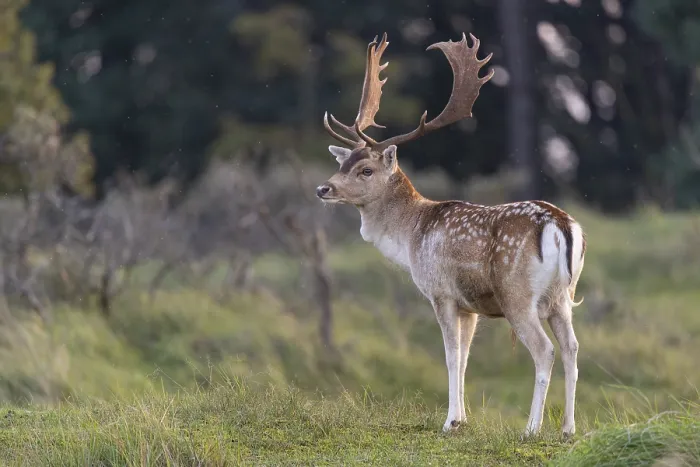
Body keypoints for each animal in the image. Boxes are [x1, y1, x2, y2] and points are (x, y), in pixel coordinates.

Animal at [315, 32, 586, 438]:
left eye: (365, 170)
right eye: (343, 163)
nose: (323, 189)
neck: (412, 235)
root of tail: (558, 224)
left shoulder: (440, 292)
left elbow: (451, 355)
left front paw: (450, 421)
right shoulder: (469, 306)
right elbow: (466, 357)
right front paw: (463, 418)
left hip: (517, 294)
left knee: (545, 350)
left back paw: (531, 428)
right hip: (562, 296)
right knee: (571, 347)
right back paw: (568, 429)